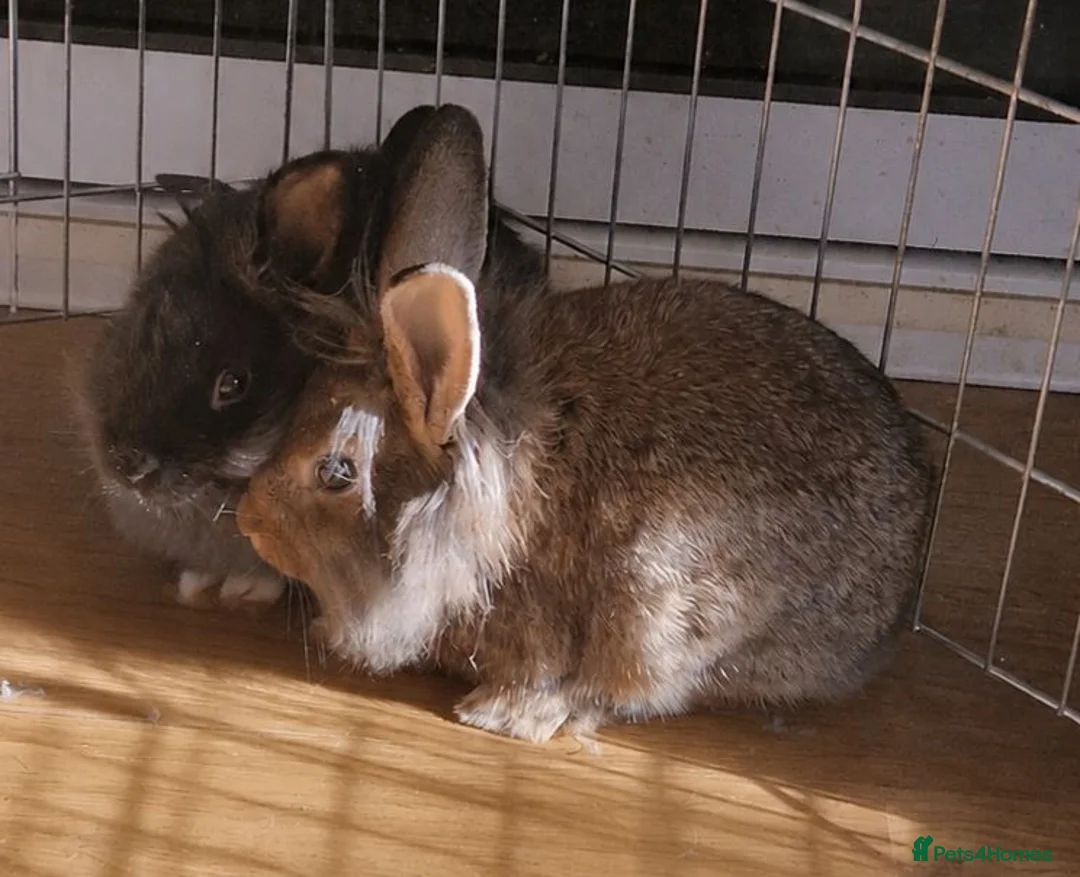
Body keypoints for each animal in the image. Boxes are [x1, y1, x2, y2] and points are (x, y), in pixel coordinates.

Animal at [235, 104, 935, 744]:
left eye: (336, 473)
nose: (249, 521)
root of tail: (894, 607)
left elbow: (551, 673)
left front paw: (500, 712)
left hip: (659, 610)